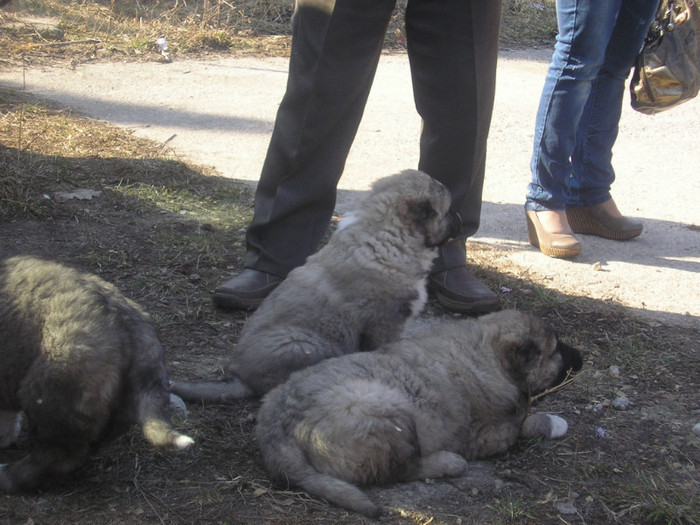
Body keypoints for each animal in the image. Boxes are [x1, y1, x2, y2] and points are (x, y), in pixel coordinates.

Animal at [172, 170, 460, 400]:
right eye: (447, 210)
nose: (460, 216)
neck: (386, 236)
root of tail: (239, 378)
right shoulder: (384, 322)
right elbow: (386, 350)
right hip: (301, 344)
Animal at [254, 310, 584, 516]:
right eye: (556, 350)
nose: (582, 356)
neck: (486, 352)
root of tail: (277, 432)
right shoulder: (490, 434)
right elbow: (523, 423)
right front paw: (553, 423)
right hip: (386, 411)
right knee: (400, 469)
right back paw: (449, 462)